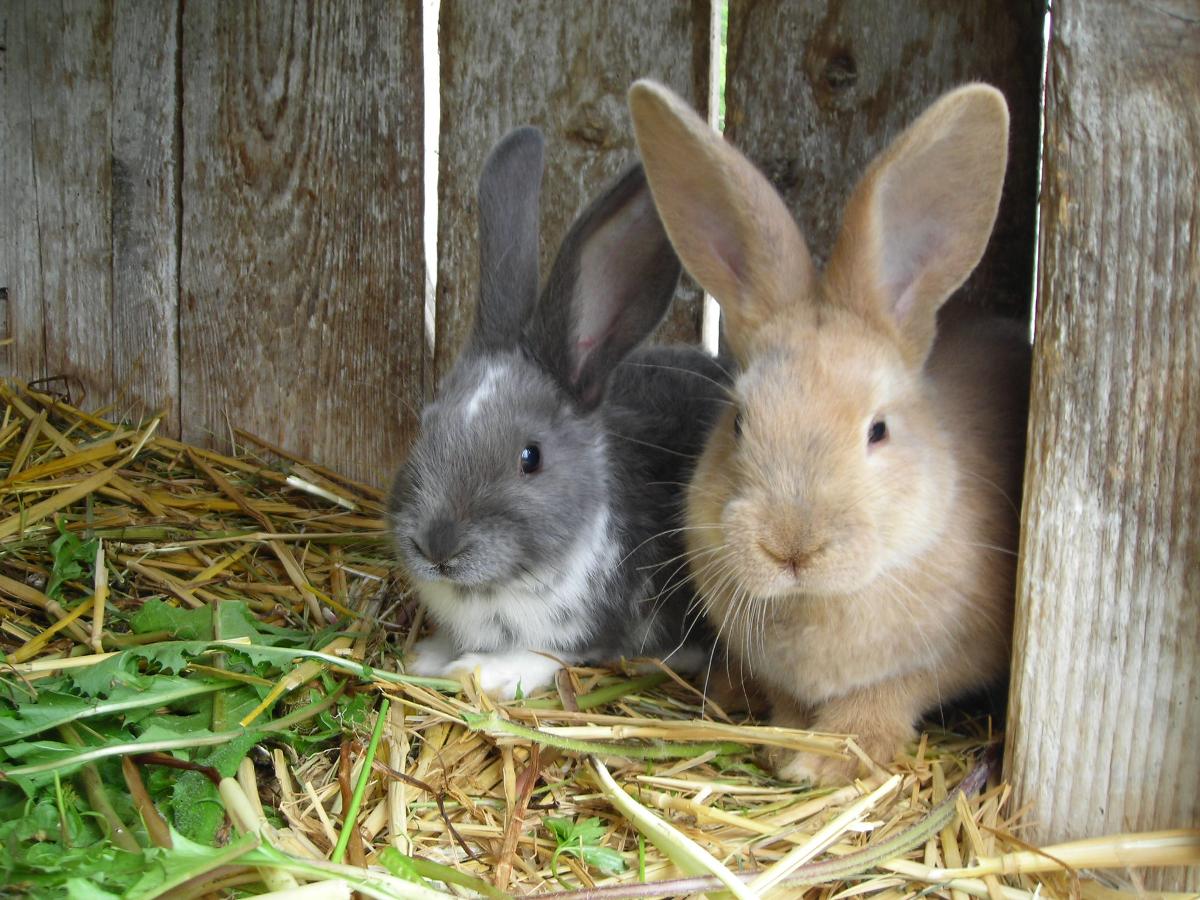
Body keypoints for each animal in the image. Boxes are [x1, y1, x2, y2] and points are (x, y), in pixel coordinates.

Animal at [391, 125, 729, 696]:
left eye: (531, 458)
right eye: (426, 426)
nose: (437, 546)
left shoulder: (582, 633)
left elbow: (544, 656)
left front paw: (476, 671)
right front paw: (426, 657)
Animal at [628, 81, 1032, 787]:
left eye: (879, 430)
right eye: (739, 421)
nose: (792, 548)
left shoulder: (922, 667)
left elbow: (878, 706)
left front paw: (823, 764)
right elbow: (790, 703)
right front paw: (786, 748)